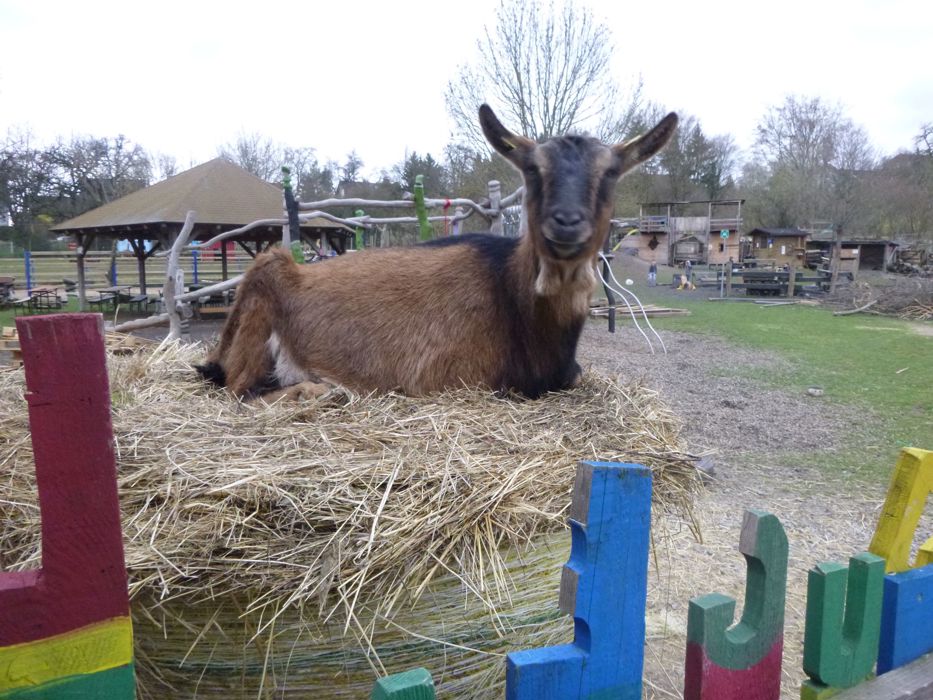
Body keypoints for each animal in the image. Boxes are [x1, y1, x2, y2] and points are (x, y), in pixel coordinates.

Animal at [197, 105, 677, 400]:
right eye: (532, 169)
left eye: (611, 172)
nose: (566, 222)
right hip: (265, 277)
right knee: (241, 392)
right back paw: (319, 391)